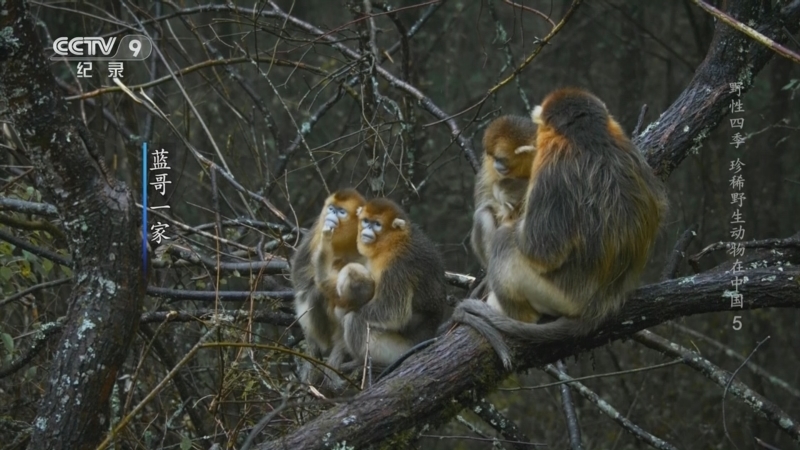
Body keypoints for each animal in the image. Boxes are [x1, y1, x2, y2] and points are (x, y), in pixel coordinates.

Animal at [292, 187, 368, 384]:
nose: (331, 215)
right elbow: (300, 278)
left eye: (341, 212)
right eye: (331, 208)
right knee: (315, 293)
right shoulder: (316, 230)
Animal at [340, 199, 450, 368]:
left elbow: (393, 313)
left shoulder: (399, 265)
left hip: (393, 351)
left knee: (355, 319)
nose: (367, 229)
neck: (392, 242)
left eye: (377, 224)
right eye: (366, 221)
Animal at [472, 114, 536, 268]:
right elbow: (485, 201)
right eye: (494, 158)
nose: (496, 164)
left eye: (500, 159)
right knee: (483, 214)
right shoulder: (488, 165)